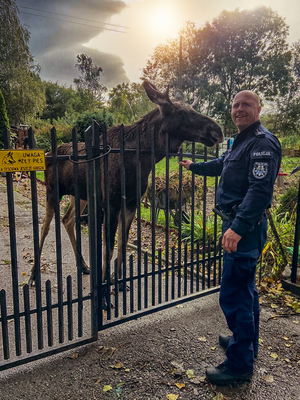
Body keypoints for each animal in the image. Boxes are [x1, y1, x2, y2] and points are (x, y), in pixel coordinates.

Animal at [28, 80, 223, 290]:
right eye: (181, 113)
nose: (218, 131)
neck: (142, 161)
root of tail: (48, 153)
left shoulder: (131, 203)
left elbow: (122, 243)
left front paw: (119, 282)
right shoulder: (111, 203)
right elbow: (108, 247)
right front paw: (105, 286)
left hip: (79, 195)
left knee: (67, 219)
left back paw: (84, 266)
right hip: (53, 190)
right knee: (45, 227)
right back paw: (33, 276)